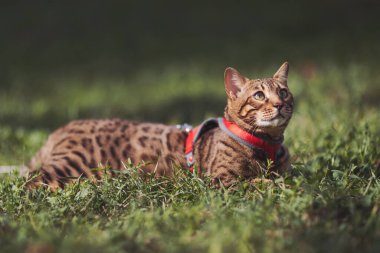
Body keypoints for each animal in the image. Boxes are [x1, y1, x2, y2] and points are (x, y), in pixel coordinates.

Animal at [26, 62, 294, 190]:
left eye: (283, 92)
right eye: (259, 95)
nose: (280, 104)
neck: (267, 144)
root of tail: (60, 130)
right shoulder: (221, 179)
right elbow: (261, 181)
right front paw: (278, 185)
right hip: (75, 164)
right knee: (31, 181)